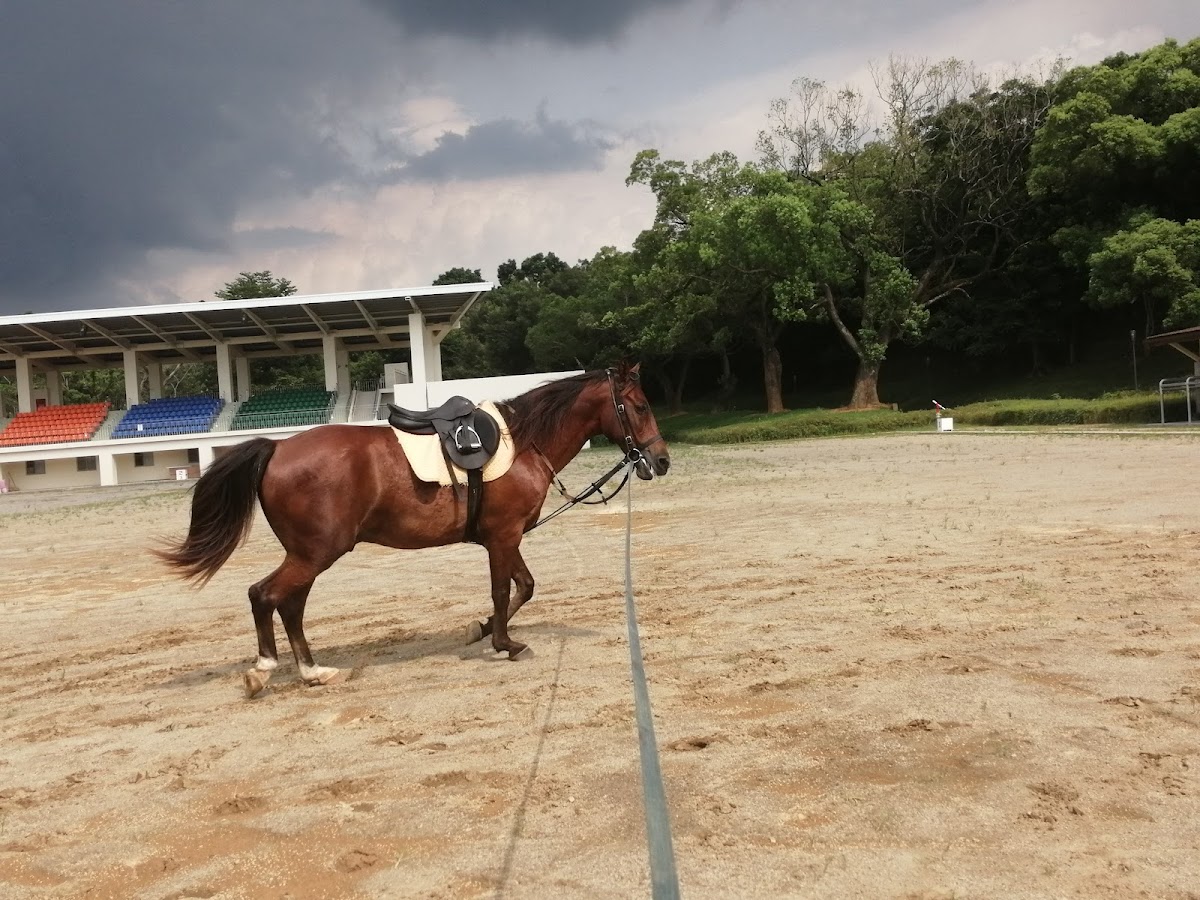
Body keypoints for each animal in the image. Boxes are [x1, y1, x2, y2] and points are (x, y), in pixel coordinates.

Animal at [156, 363, 670, 698]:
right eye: (640, 406)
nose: (661, 460)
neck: (523, 443)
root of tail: (278, 449)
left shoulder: (505, 537)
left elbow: (523, 586)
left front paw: (483, 629)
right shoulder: (503, 536)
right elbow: (504, 590)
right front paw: (504, 642)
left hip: (307, 555)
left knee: (290, 605)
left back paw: (312, 670)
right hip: (315, 553)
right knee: (265, 596)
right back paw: (265, 669)